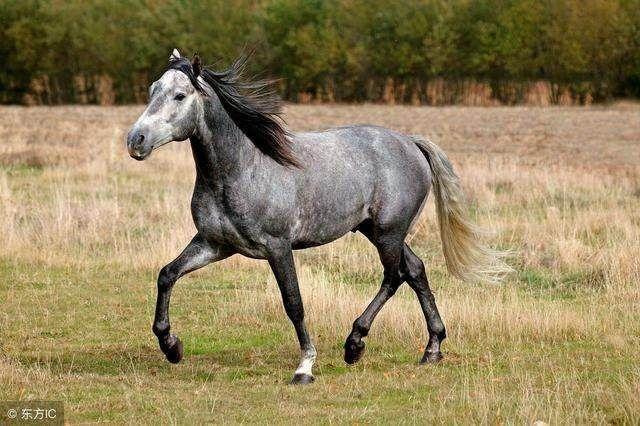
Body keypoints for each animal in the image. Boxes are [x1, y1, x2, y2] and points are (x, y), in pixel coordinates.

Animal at [126, 49, 509, 384]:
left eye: (179, 95)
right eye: (152, 90)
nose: (135, 140)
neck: (242, 168)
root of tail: (410, 142)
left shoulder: (277, 247)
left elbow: (294, 304)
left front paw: (305, 367)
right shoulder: (215, 244)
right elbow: (167, 274)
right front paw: (171, 346)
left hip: (388, 232)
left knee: (395, 275)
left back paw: (355, 344)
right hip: (377, 231)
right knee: (415, 270)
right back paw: (431, 349)